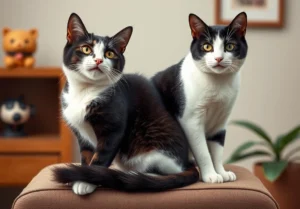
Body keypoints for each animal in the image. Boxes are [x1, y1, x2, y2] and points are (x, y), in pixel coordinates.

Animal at [54, 13, 199, 195]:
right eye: (86, 49)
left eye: (110, 53)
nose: (99, 60)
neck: (85, 92)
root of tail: (188, 161)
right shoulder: (81, 134)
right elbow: (86, 154)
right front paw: (79, 174)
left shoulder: (114, 126)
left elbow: (102, 155)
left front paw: (86, 180)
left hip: (154, 152)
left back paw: (137, 176)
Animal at [152, 12, 248, 183]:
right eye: (207, 46)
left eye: (229, 46)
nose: (218, 58)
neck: (218, 84)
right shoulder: (191, 121)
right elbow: (203, 152)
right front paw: (211, 175)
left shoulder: (221, 121)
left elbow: (217, 151)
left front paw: (221, 172)